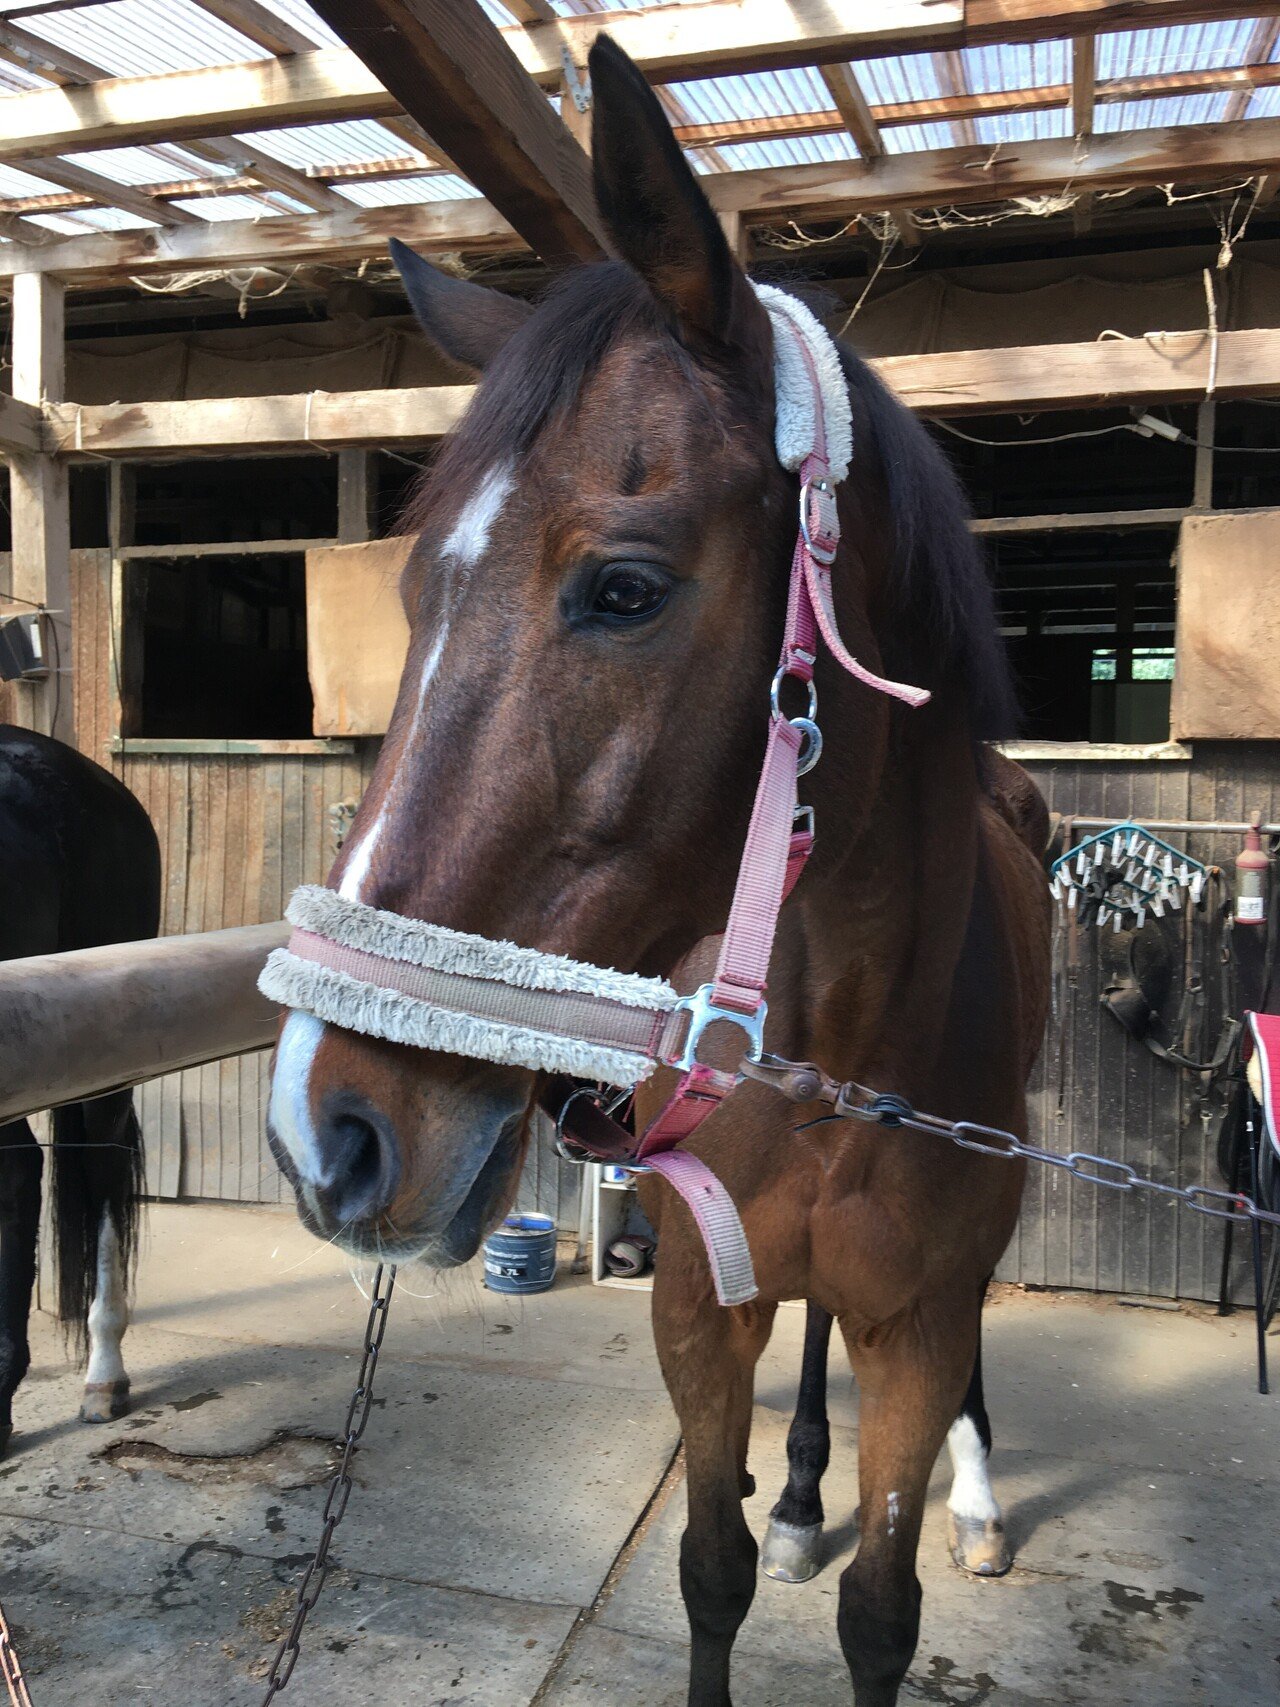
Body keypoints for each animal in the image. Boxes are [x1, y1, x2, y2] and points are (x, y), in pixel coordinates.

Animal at [263, 36, 1051, 1707]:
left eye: (623, 588)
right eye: (412, 594)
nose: (323, 1131)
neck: (831, 1042)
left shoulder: (919, 1317)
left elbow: (881, 1612)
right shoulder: (699, 1302)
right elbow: (712, 1565)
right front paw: (782, 1514)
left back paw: (973, 1494)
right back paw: (808, 1483)